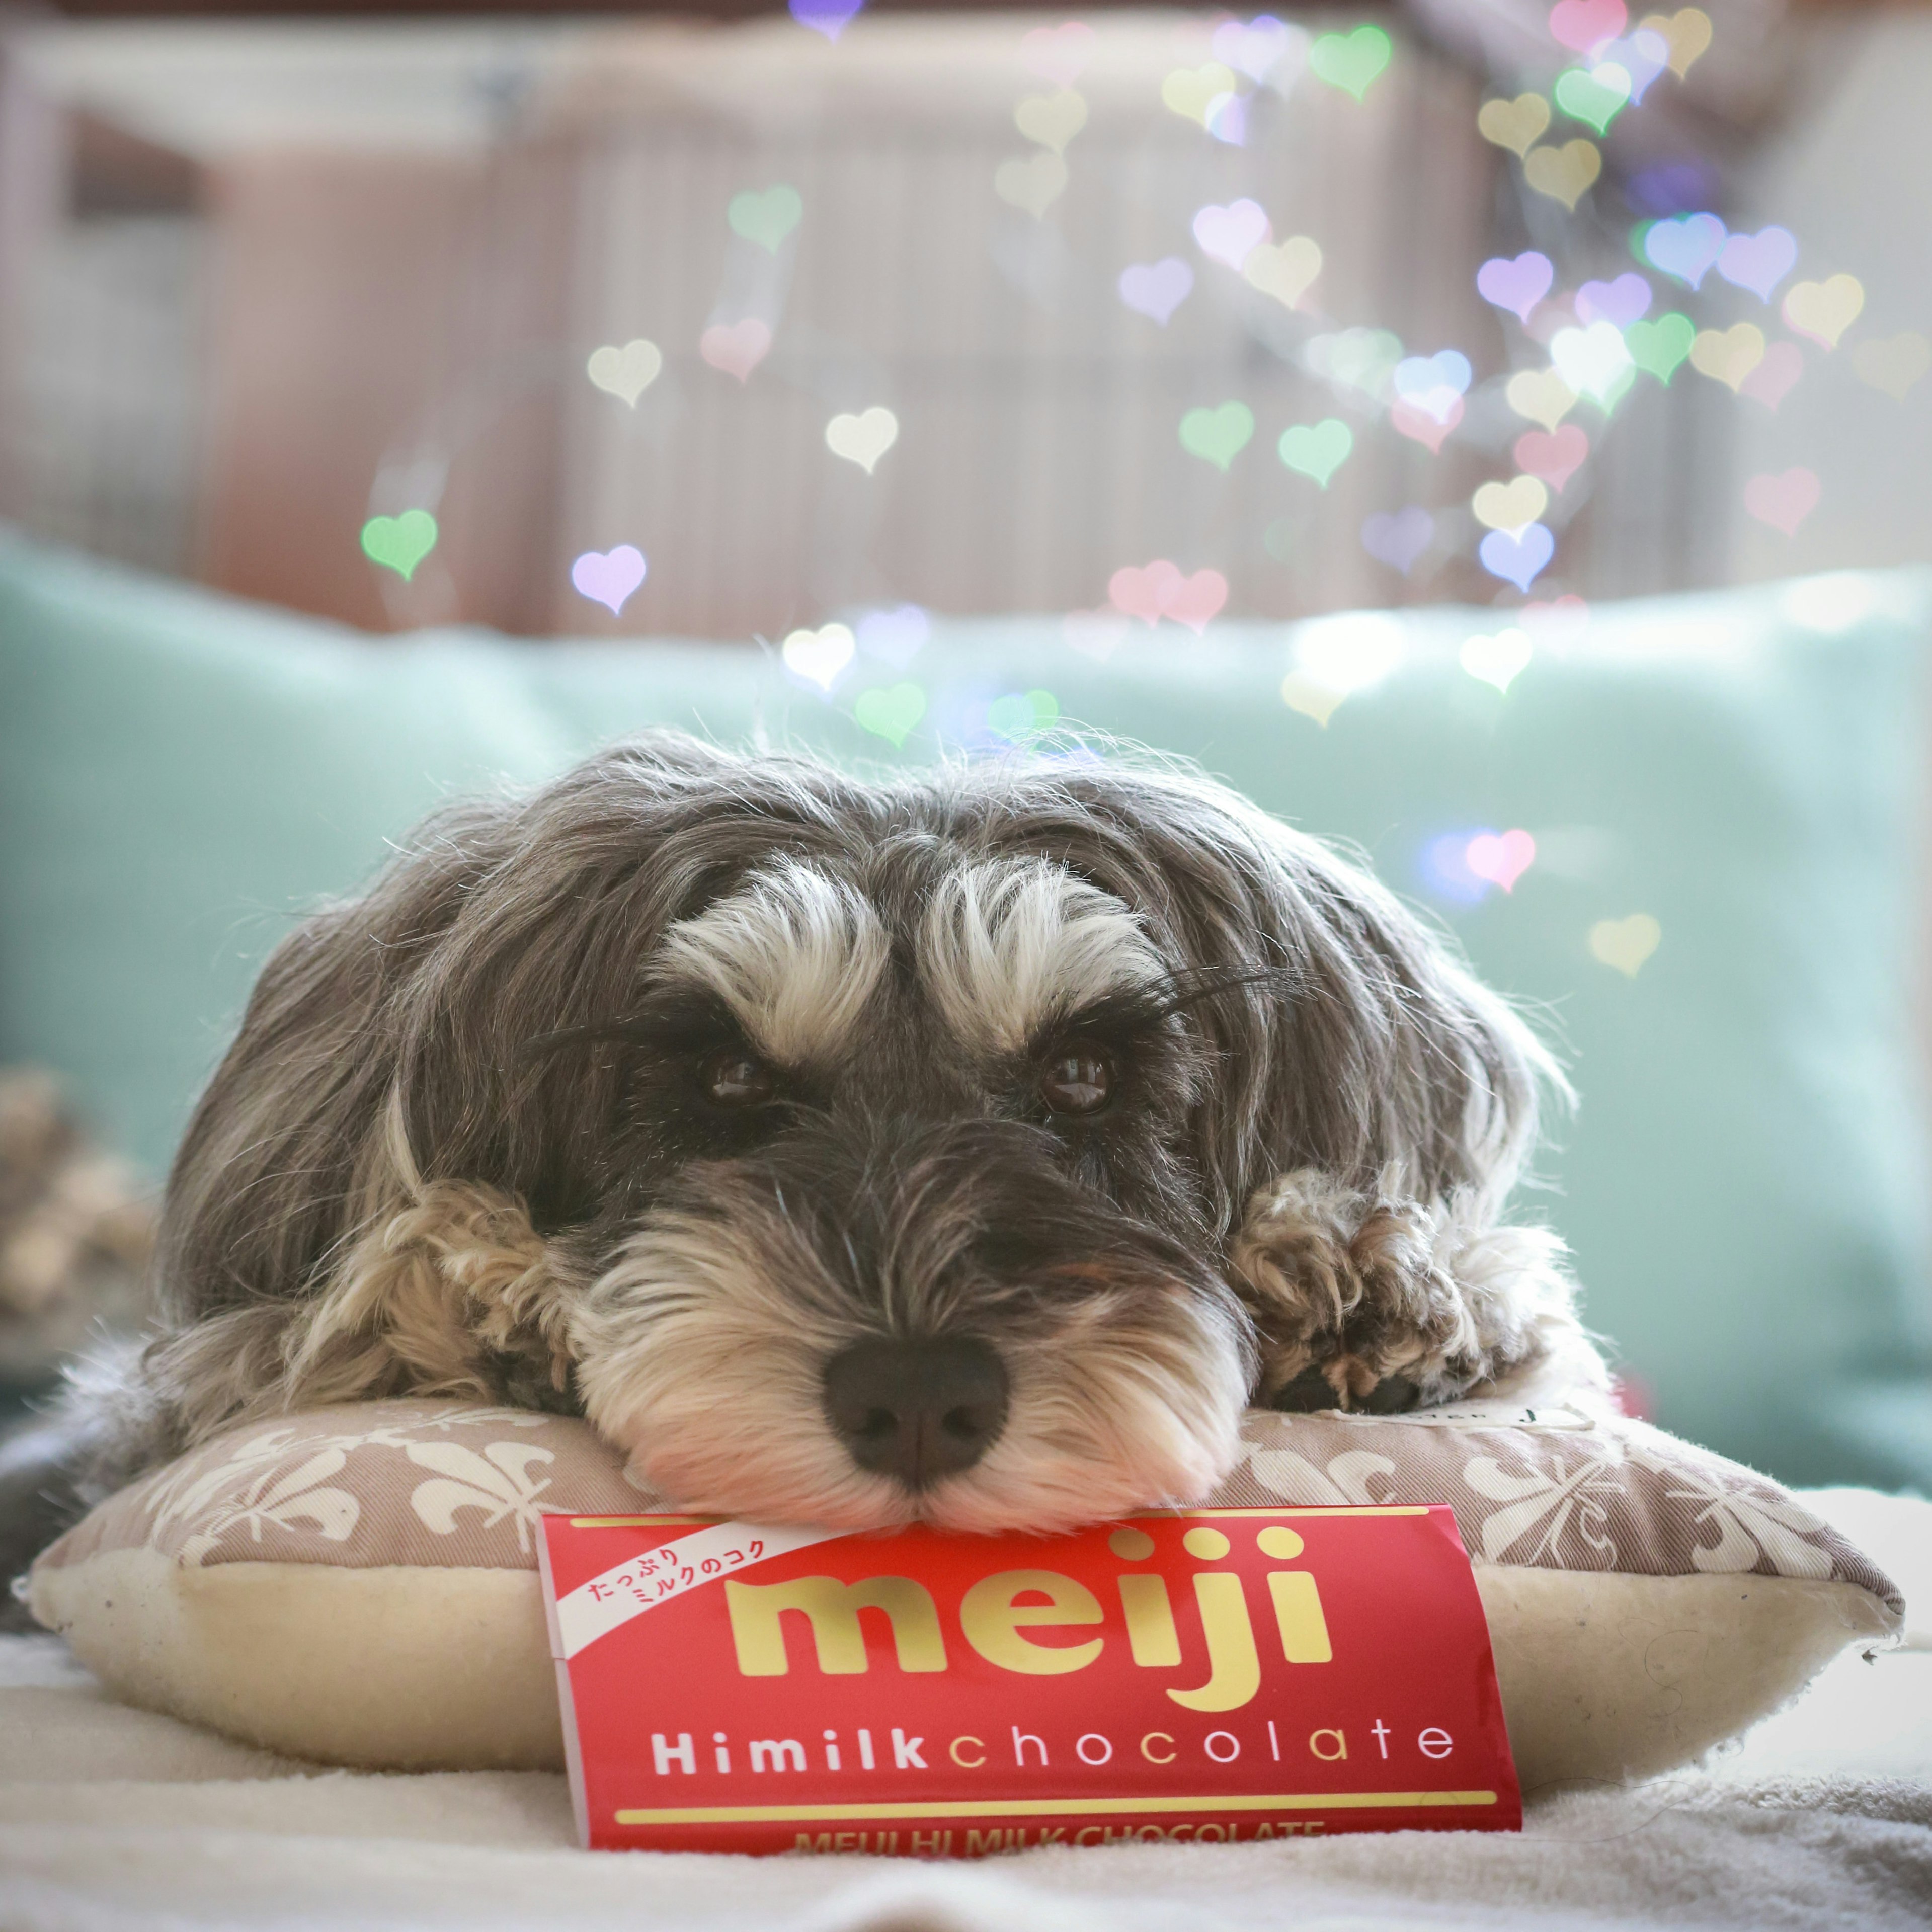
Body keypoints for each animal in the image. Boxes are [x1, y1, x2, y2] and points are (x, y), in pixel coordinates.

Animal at [0, 730, 1599, 1607]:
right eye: (722, 1078)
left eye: (1083, 1072)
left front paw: (1366, 1278)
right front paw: (469, 1295)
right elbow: (292, 1336)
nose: (919, 1402)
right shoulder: (161, 1407)